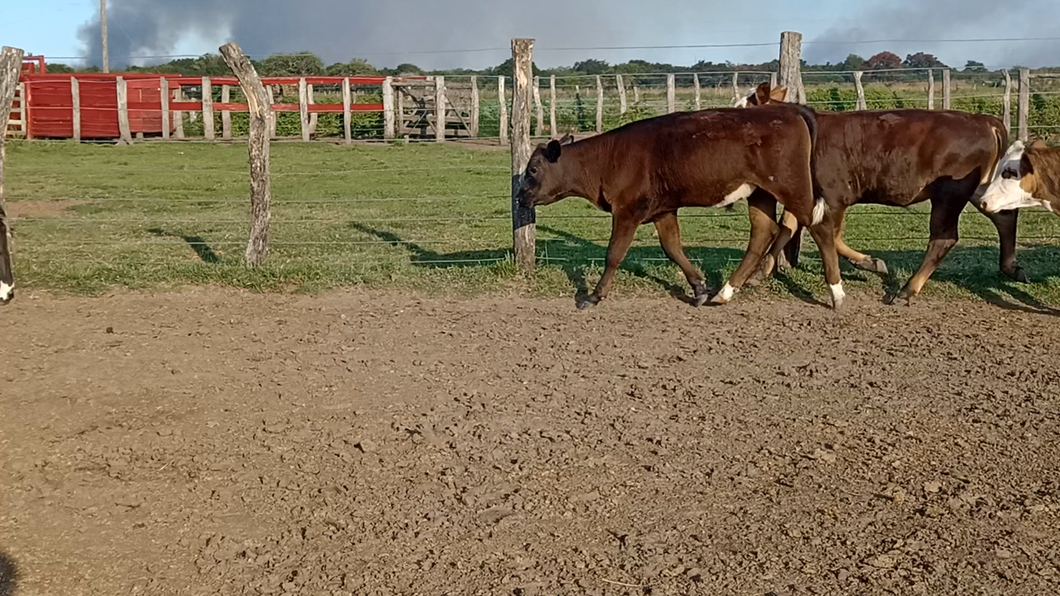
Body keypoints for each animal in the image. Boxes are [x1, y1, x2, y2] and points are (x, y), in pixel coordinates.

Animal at [515, 104, 849, 310]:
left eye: (533, 169)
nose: (519, 197)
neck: (608, 158)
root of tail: (789, 110)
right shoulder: (662, 211)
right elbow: (672, 247)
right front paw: (699, 288)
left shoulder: (628, 211)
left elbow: (614, 254)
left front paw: (594, 296)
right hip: (760, 193)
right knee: (763, 232)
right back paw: (725, 292)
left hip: (793, 188)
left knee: (820, 226)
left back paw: (836, 292)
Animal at [735, 82, 1025, 305]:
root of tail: (982, 120)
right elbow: (789, 224)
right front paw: (762, 270)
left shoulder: (834, 196)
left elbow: (830, 235)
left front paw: (870, 262)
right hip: (978, 188)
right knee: (1004, 215)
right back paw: (1011, 267)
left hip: (949, 195)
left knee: (944, 238)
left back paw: (906, 290)